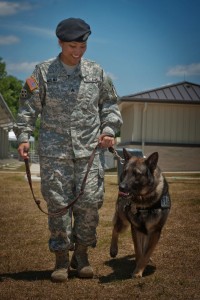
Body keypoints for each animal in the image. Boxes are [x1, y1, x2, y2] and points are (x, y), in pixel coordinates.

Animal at [109, 149, 170, 278]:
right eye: (125, 172)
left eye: (137, 174)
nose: (121, 187)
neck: (144, 201)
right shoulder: (135, 229)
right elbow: (138, 250)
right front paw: (138, 268)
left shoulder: (155, 231)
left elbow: (146, 252)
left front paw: (139, 270)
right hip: (124, 222)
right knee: (115, 229)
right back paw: (113, 249)